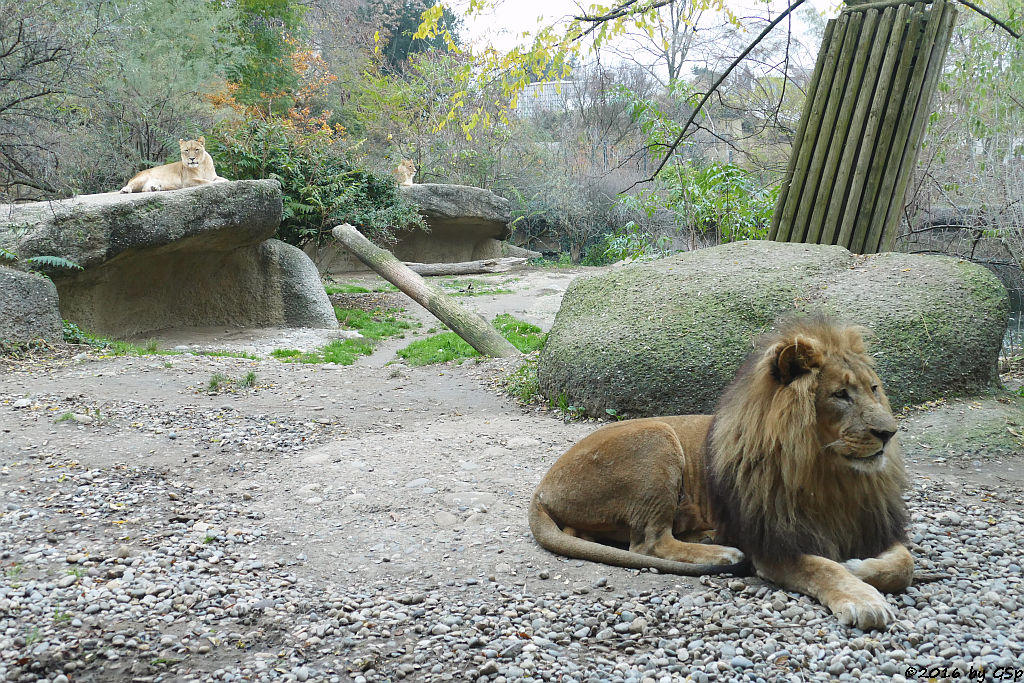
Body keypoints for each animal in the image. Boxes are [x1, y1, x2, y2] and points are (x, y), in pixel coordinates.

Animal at [528, 317, 913, 630]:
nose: (889, 432)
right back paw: (724, 553)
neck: (831, 476)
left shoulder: (873, 524)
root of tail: (541, 488)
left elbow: (903, 564)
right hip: (657, 437)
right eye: (840, 395)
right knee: (650, 543)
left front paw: (859, 565)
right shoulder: (771, 543)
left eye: (874, 389)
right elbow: (823, 567)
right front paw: (862, 597)